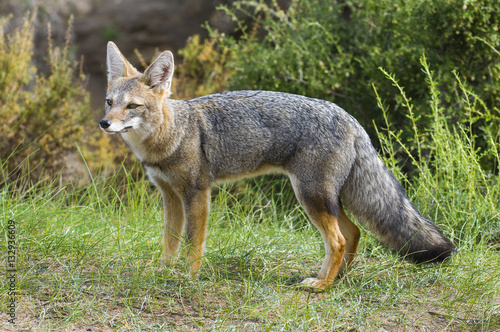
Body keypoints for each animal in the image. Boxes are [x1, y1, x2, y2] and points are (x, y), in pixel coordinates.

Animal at [99, 42, 456, 290]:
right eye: (109, 102)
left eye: (132, 107)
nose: (104, 123)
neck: (171, 136)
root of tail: (350, 118)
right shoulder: (170, 196)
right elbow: (170, 241)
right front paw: (162, 271)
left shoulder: (197, 194)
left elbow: (193, 243)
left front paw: (188, 277)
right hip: (325, 199)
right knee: (353, 233)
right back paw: (338, 278)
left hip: (311, 197)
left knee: (339, 240)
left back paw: (322, 285)